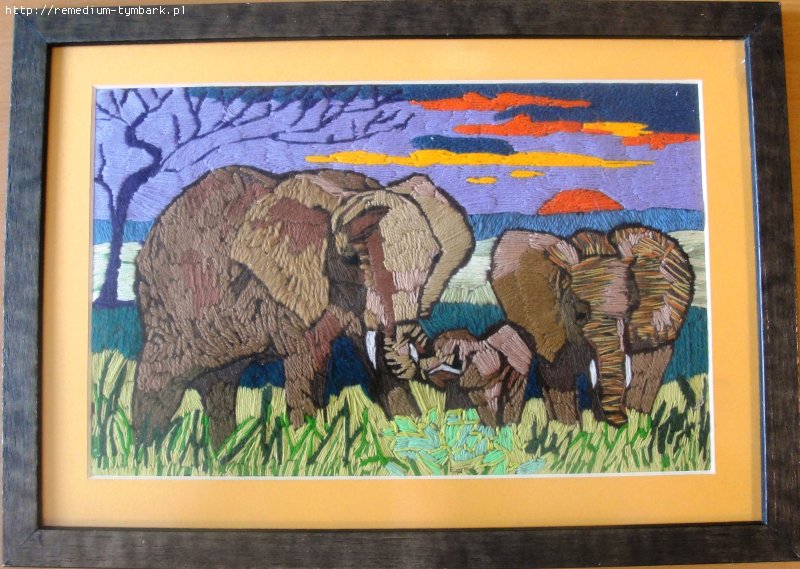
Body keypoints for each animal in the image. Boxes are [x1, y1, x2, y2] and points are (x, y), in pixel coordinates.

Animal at [132, 166, 474, 446]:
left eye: (433, 260)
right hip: (169, 303)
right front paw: (304, 442)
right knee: (160, 379)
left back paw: (223, 454)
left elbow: (379, 370)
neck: (341, 194)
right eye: (353, 260)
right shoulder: (294, 291)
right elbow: (307, 366)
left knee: (219, 386)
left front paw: (407, 436)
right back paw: (144, 453)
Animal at [490, 225, 694, 427]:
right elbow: (559, 377)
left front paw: (629, 421)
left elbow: (643, 369)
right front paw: (567, 428)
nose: (622, 421)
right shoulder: (551, 327)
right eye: (579, 314)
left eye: (630, 313)